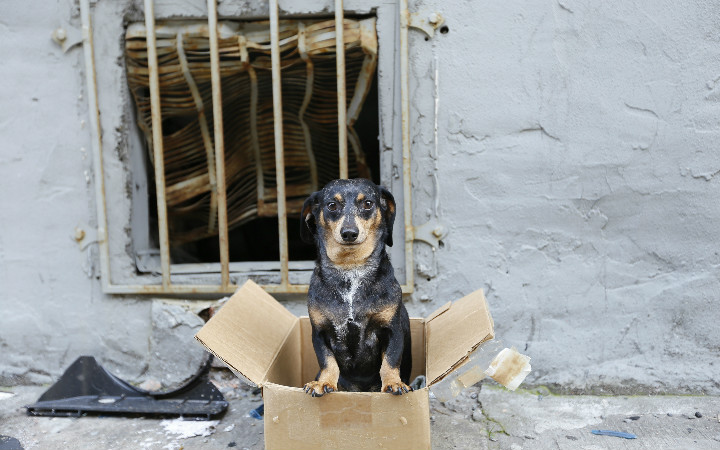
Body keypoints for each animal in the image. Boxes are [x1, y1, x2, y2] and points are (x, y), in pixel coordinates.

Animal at [298, 178, 410, 396]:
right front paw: (323, 383)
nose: (349, 233)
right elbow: (327, 361)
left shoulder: (392, 330)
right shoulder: (320, 333)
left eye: (367, 203)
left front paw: (394, 383)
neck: (351, 270)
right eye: (332, 205)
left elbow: (391, 360)